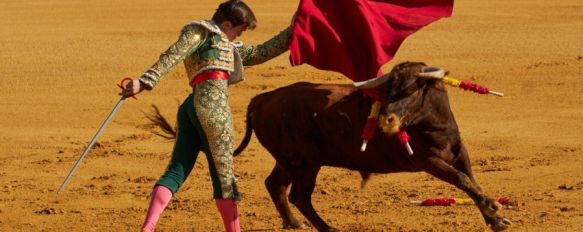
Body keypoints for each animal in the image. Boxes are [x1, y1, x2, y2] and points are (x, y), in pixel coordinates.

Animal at [233, 61, 512, 230]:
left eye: (411, 90)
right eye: (387, 91)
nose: (385, 119)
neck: (435, 124)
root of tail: (261, 99)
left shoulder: (459, 153)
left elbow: (471, 180)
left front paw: (495, 217)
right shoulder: (429, 161)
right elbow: (462, 180)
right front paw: (493, 209)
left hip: (288, 160)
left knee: (275, 185)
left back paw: (294, 223)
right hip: (304, 163)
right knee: (299, 195)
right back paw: (327, 227)